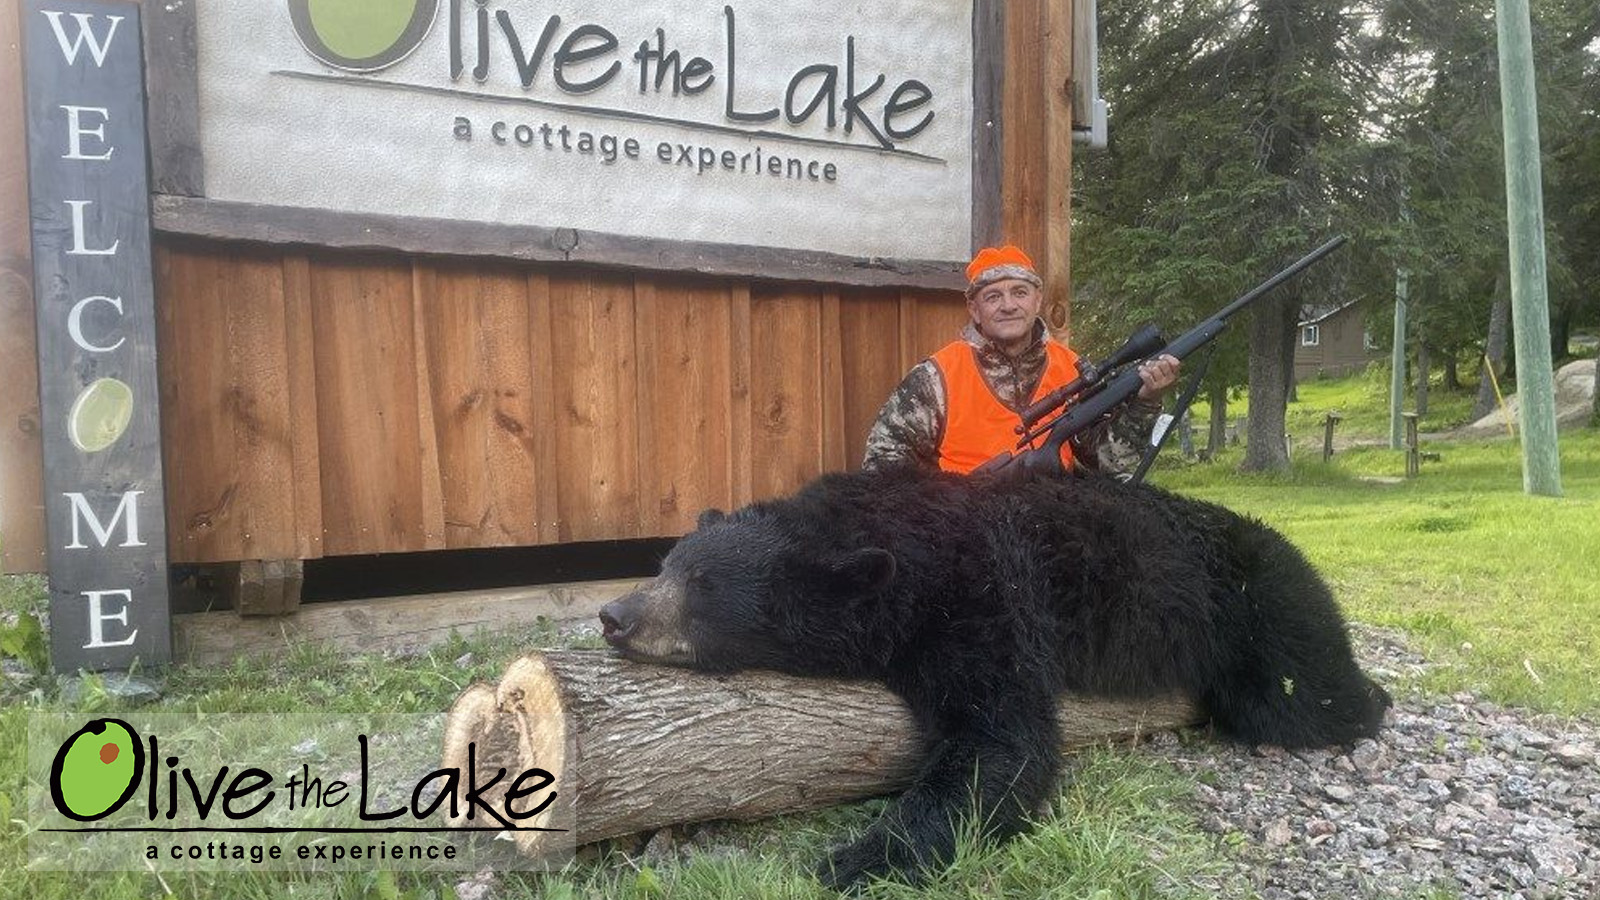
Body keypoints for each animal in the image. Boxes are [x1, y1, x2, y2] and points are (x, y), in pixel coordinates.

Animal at [598, 466, 1390, 890]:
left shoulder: (980, 592)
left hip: (1257, 602)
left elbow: (1002, 741)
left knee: (1298, 697)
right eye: (666, 564)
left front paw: (855, 859)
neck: (899, 539)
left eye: (702, 587)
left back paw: (1372, 698)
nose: (613, 614)